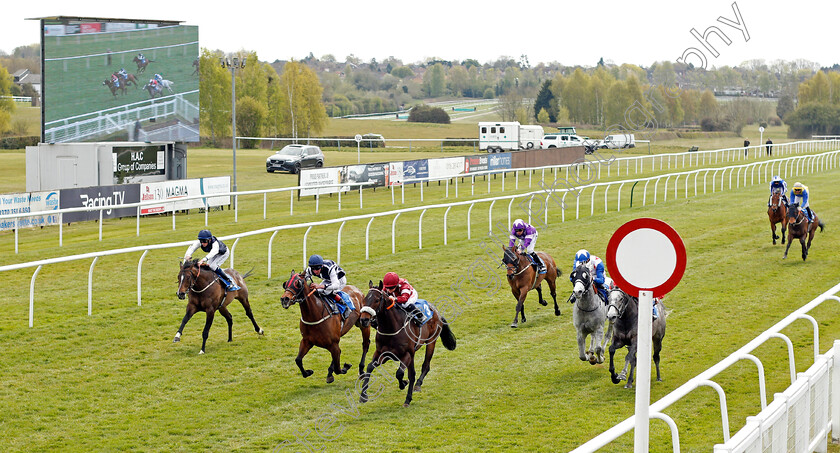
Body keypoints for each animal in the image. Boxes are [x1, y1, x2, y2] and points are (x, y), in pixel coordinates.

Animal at [358, 280, 456, 408]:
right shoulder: (382, 353)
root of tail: (436, 311)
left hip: (431, 342)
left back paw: (417, 386)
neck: (391, 328)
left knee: (425, 366)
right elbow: (370, 367)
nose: (364, 320)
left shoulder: (407, 354)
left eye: (377, 300)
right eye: (365, 299)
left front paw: (404, 387)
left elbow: (400, 373)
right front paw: (363, 396)